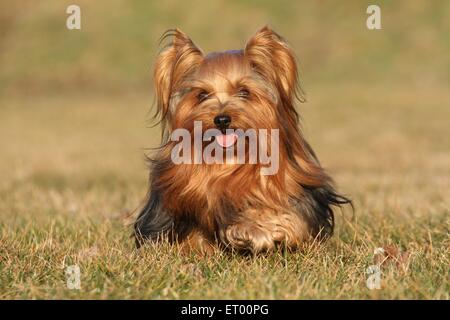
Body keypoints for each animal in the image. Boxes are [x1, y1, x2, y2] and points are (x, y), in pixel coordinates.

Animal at [134, 26, 352, 254]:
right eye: (202, 94)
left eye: (244, 91)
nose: (221, 119)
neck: (232, 158)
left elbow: (287, 217)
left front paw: (256, 229)